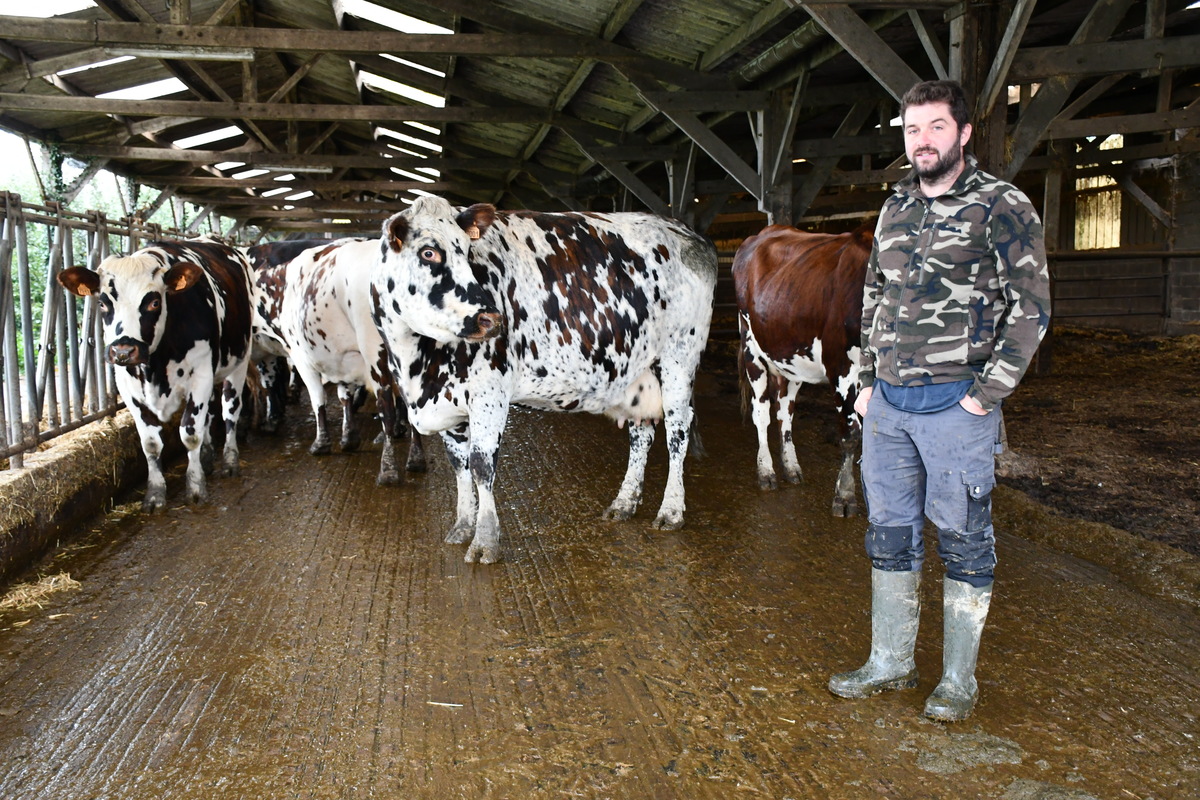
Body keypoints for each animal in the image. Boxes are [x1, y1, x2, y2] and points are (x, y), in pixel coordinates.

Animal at [57, 239, 254, 513]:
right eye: (103, 303)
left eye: (154, 302)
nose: (124, 351)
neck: (155, 367)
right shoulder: (127, 387)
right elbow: (150, 443)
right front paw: (155, 493)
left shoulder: (201, 376)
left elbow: (190, 433)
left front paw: (195, 488)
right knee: (210, 415)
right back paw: (207, 458)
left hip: (239, 362)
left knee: (229, 412)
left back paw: (230, 460)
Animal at [369, 196, 715, 566]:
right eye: (428, 252)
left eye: (466, 251)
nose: (490, 318)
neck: (417, 366)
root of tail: (685, 230)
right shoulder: (448, 406)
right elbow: (459, 465)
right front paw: (462, 525)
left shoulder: (489, 393)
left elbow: (481, 465)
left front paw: (485, 540)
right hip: (638, 372)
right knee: (641, 433)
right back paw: (624, 503)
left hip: (679, 358)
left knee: (677, 431)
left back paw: (671, 510)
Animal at [729, 224, 873, 520]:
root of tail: (764, 232)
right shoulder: (842, 368)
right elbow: (851, 434)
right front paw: (845, 496)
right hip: (751, 348)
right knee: (762, 413)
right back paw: (766, 471)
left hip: (789, 360)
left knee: (785, 412)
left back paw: (791, 467)